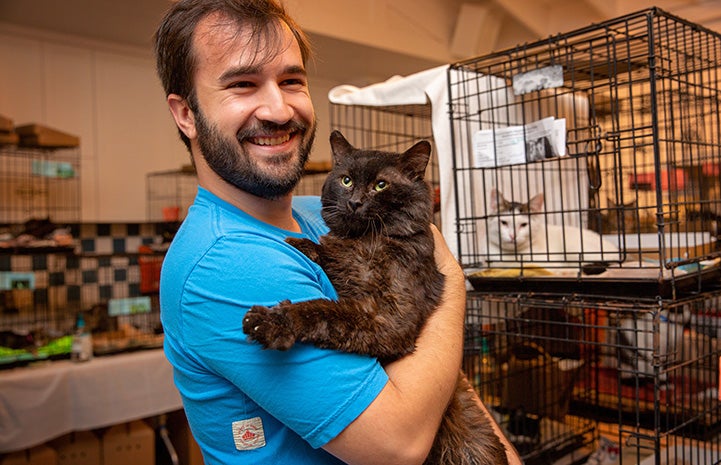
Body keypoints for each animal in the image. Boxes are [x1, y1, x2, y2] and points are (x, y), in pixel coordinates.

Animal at [245, 130, 510, 464]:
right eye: (346, 180)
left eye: (381, 185)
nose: (355, 202)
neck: (366, 240)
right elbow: (327, 253)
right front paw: (301, 245)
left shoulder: (388, 317)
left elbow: (322, 311)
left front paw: (272, 321)